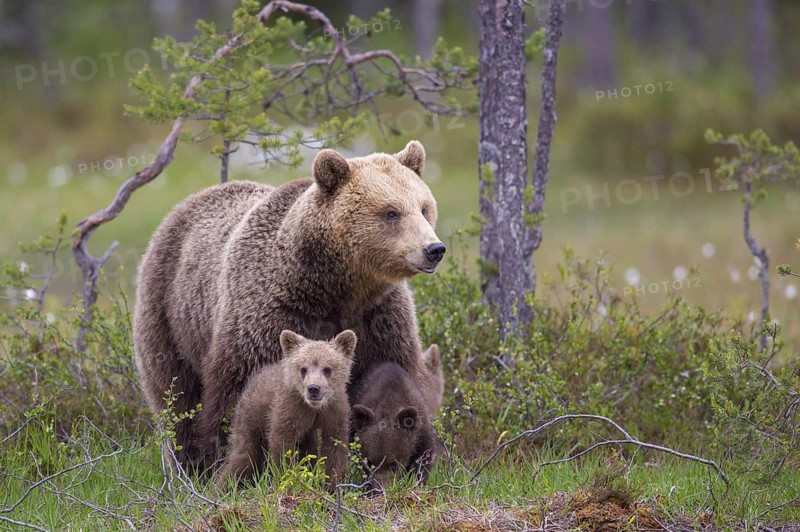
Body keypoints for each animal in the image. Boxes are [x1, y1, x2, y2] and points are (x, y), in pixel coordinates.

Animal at [133, 140, 444, 471]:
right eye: (391, 212)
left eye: (424, 207)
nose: (434, 249)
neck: (337, 289)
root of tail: (190, 200)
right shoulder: (272, 314)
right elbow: (239, 391)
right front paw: (222, 455)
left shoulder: (380, 317)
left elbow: (393, 378)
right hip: (169, 311)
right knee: (175, 392)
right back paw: (187, 461)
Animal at [217, 329, 356, 489]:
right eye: (303, 368)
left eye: (327, 369)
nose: (313, 389)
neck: (313, 408)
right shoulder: (289, 407)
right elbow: (282, 443)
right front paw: (287, 476)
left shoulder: (335, 411)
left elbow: (335, 446)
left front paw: (332, 484)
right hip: (250, 417)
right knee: (243, 457)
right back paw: (221, 487)